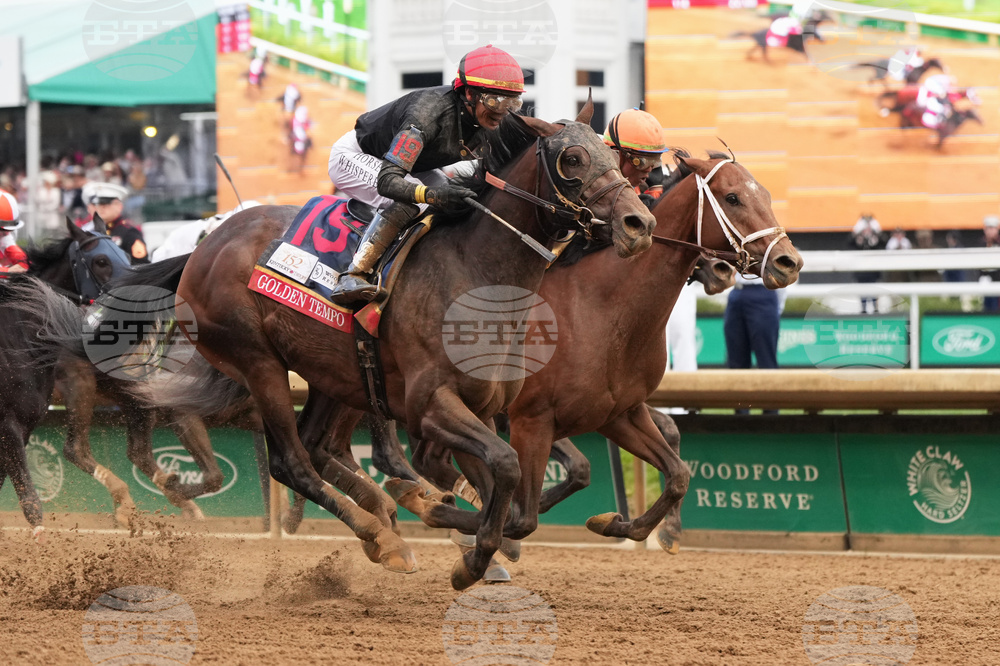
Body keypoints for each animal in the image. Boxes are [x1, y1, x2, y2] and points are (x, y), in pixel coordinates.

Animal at [30, 103, 656, 589]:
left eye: (612, 154)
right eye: (572, 159)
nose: (638, 223)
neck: (477, 270)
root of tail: (206, 243)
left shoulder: (490, 407)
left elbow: (516, 509)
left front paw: (474, 533)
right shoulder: (431, 405)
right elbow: (498, 471)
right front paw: (462, 546)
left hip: (334, 370)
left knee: (316, 447)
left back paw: (386, 522)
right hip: (260, 362)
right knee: (291, 461)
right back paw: (383, 535)